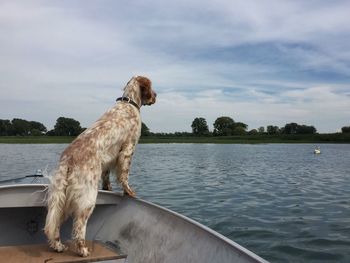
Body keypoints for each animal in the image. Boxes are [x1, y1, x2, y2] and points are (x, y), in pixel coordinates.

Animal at [44, 76, 157, 258]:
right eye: (152, 89)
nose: (156, 96)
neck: (129, 102)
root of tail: (68, 159)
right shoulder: (128, 149)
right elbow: (124, 176)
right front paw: (129, 192)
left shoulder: (109, 159)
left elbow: (107, 177)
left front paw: (109, 189)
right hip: (88, 198)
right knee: (79, 225)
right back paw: (82, 250)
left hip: (64, 199)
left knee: (54, 224)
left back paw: (58, 246)